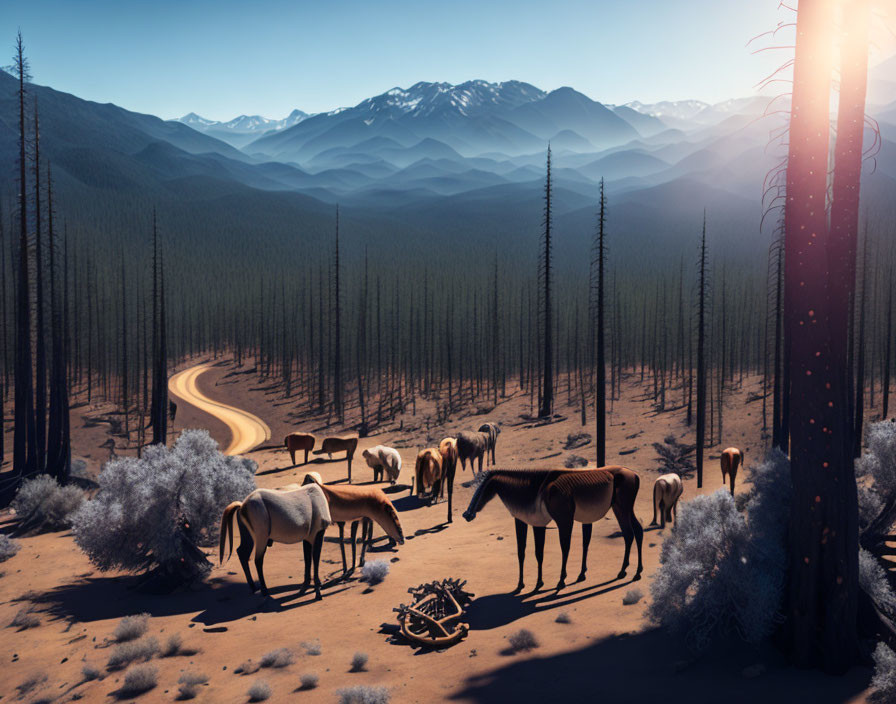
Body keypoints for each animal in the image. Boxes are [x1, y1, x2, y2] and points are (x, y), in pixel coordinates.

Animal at [462, 468, 644, 592]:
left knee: (629, 534)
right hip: (626, 509)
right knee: (638, 531)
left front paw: (559, 581)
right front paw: (527, 584)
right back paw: (636, 572)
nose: (467, 514)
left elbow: (563, 548)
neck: (534, 490)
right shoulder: (530, 523)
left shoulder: (563, 521)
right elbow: (528, 552)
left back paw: (623, 572)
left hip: (621, 508)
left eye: (483, 488)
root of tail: (634, 475)